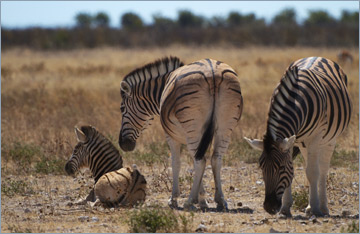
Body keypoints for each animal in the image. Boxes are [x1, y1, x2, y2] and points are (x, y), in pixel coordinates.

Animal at [119, 56, 243, 210]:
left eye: (122, 108)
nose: (123, 144)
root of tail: (213, 73)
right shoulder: (201, 137)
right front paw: (202, 199)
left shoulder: (172, 136)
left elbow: (176, 163)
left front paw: (176, 199)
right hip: (225, 127)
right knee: (216, 159)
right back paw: (220, 200)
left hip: (193, 127)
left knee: (200, 161)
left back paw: (189, 201)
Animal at [245, 55, 352, 217]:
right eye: (261, 167)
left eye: (281, 168)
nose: (269, 207)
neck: (296, 98)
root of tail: (318, 56)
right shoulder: (292, 141)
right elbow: (298, 171)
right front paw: (286, 207)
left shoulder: (315, 138)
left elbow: (313, 172)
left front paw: (315, 208)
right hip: (304, 144)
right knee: (311, 164)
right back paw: (309, 206)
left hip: (328, 140)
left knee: (322, 169)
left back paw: (323, 207)